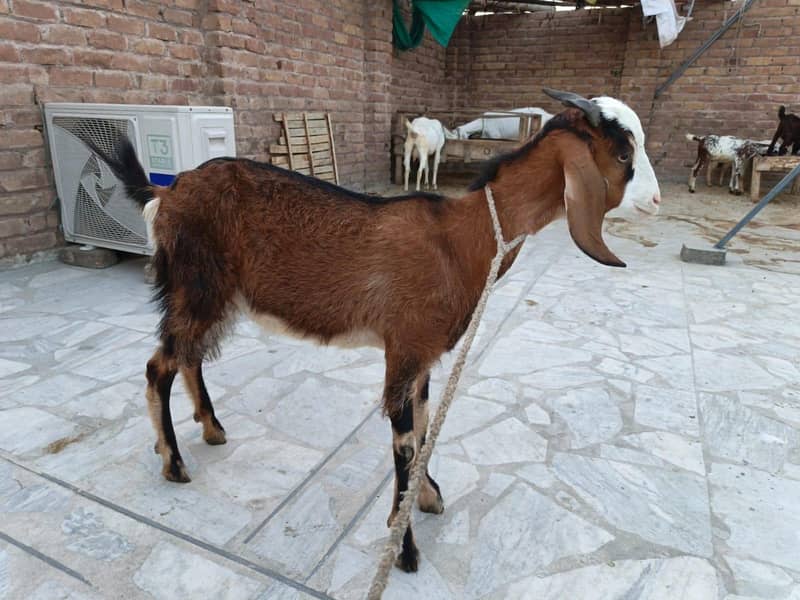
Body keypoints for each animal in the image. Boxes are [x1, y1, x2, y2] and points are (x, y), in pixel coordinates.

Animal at [91, 88, 660, 574]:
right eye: (623, 152)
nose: (655, 203)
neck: (464, 236)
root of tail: (167, 190)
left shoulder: (423, 352)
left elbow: (426, 426)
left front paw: (426, 496)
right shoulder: (405, 346)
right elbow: (405, 438)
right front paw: (404, 549)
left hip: (209, 295)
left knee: (187, 354)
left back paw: (211, 428)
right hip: (198, 286)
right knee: (158, 365)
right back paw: (173, 462)